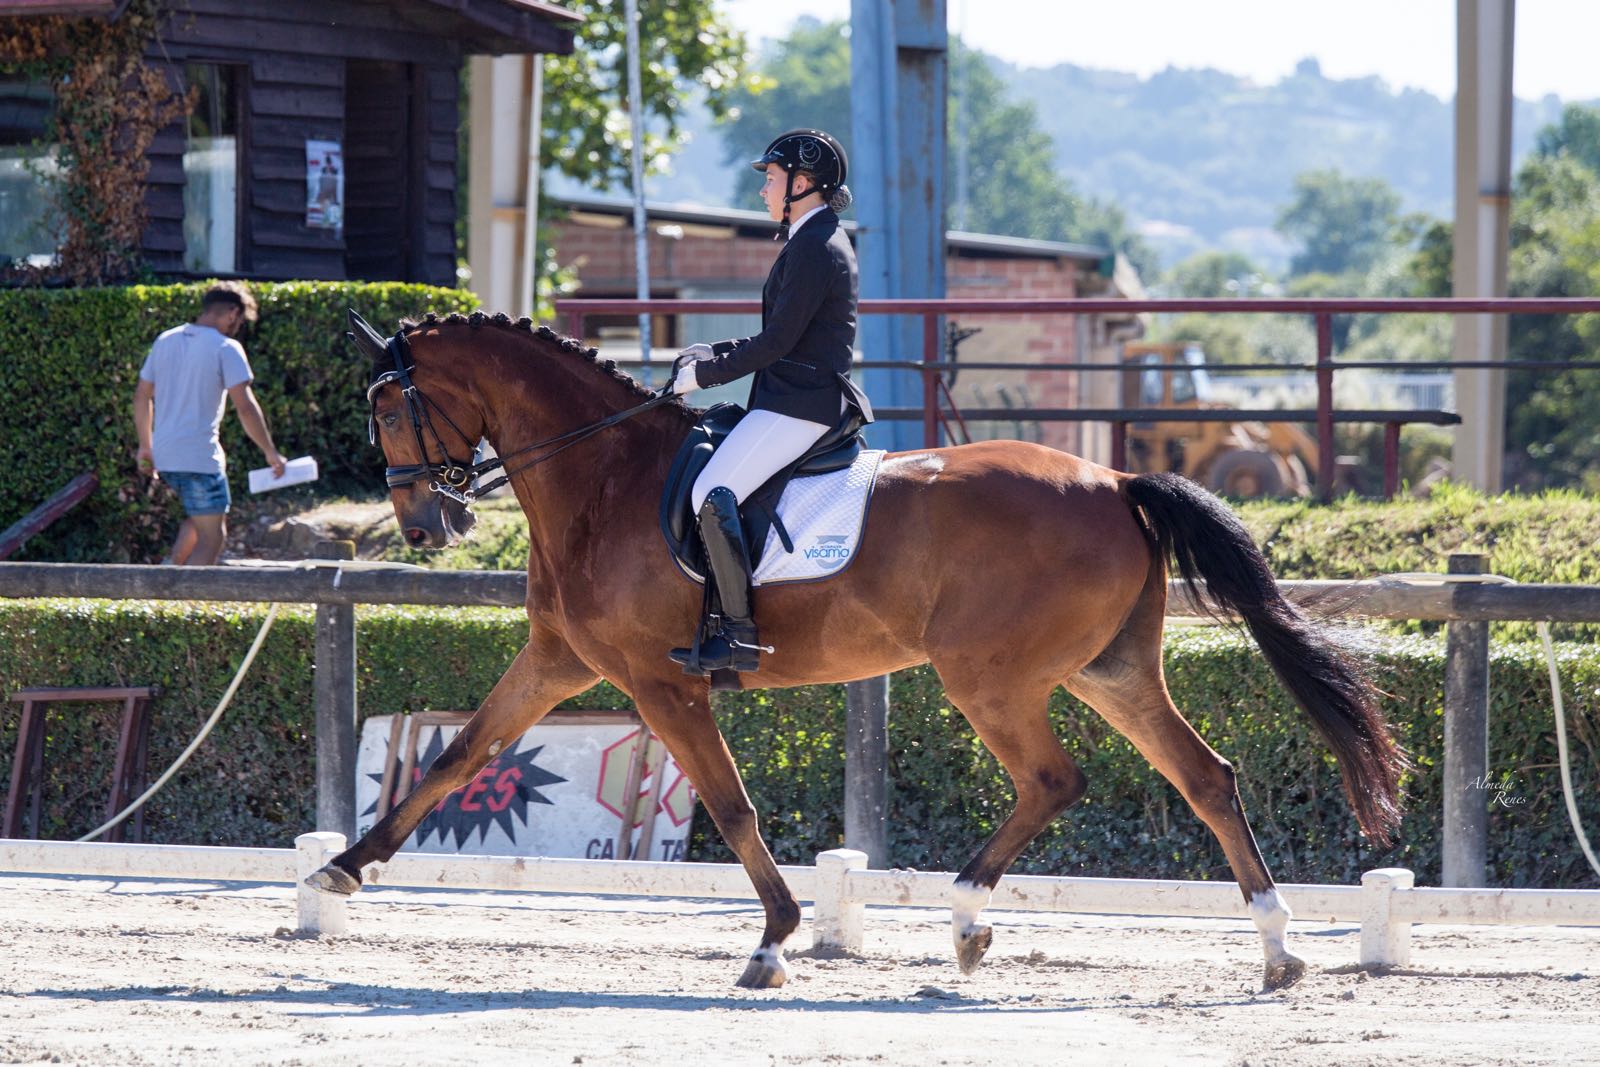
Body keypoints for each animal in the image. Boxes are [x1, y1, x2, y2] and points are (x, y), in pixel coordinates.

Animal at [308, 308, 1401, 991]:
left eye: (388, 406)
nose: (427, 523)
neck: (604, 475)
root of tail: (1115, 479)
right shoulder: (560, 661)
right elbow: (460, 754)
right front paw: (347, 868)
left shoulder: (661, 681)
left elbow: (731, 804)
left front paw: (775, 940)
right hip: (1109, 670)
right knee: (1205, 776)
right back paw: (1276, 947)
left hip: (990, 675)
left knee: (1052, 779)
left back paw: (965, 918)